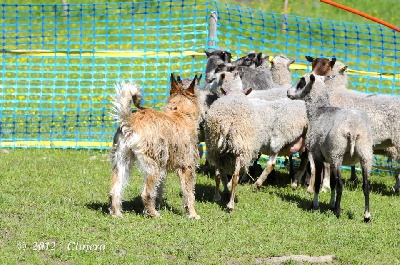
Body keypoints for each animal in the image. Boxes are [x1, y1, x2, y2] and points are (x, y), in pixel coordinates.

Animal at [109, 73, 202, 218]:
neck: (179, 112)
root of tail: (130, 121)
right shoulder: (187, 167)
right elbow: (189, 194)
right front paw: (193, 214)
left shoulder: (164, 169)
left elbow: (159, 189)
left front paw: (158, 203)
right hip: (154, 166)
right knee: (146, 193)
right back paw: (153, 214)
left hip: (122, 162)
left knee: (115, 190)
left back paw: (117, 214)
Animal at [286, 72, 374, 221]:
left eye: (301, 82)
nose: (287, 92)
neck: (318, 111)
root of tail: (354, 129)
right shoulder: (330, 159)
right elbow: (331, 183)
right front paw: (331, 204)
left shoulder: (317, 155)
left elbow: (318, 182)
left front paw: (315, 205)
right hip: (365, 154)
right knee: (366, 186)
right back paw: (366, 215)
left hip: (337, 153)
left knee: (340, 185)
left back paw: (337, 212)